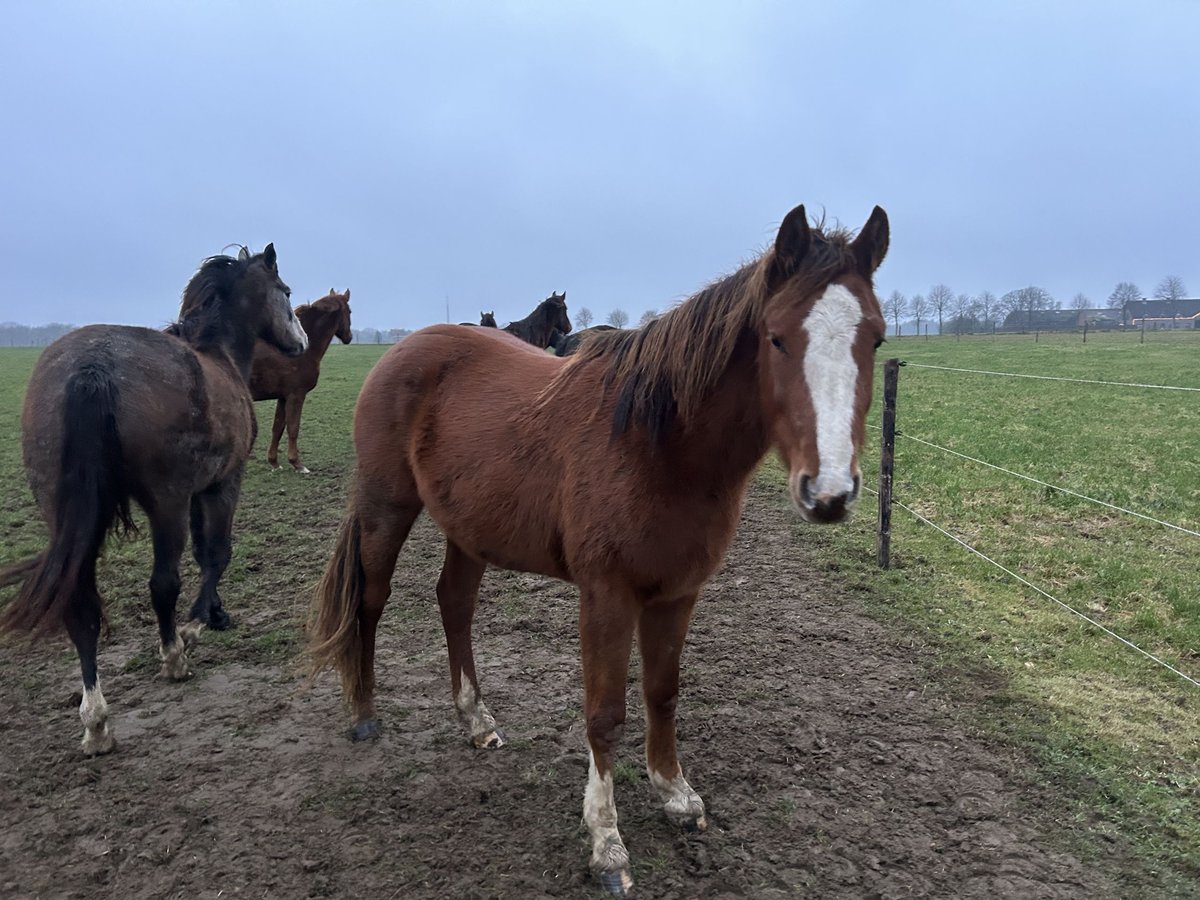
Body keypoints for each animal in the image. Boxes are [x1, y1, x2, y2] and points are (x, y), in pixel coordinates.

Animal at [0, 243, 307, 758]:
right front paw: (195, 626)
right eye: (284, 291)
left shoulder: (200, 490)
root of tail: (93, 367)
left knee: (79, 606)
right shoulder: (222, 483)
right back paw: (173, 657)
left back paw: (96, 721)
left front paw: (216, 614)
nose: (301, 341)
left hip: (61, 511)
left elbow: (205, 554)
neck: (218, 357)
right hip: (167, 504)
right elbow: (217, 554)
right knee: (163, 583)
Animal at [248, 289, 350, 475]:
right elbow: (293, 427)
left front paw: (274, 463)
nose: (349, 337)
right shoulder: (296, 395)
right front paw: (297, 464)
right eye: (350, 312)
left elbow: (278, 428)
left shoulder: (283, 397)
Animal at [307, 206, 892, 897]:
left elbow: (663, 693)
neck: (657, 444)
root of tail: (403, 349)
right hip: (386, 508)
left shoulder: (677, 593)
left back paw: (477, 721)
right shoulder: (607, 595)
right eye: (776, 338)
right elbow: (605, 714)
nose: (829, 492)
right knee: (370, 601)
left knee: (454, 603)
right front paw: (607, 843)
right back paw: (364, 714)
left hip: (469, 528)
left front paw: (675, 793)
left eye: (875, 340)